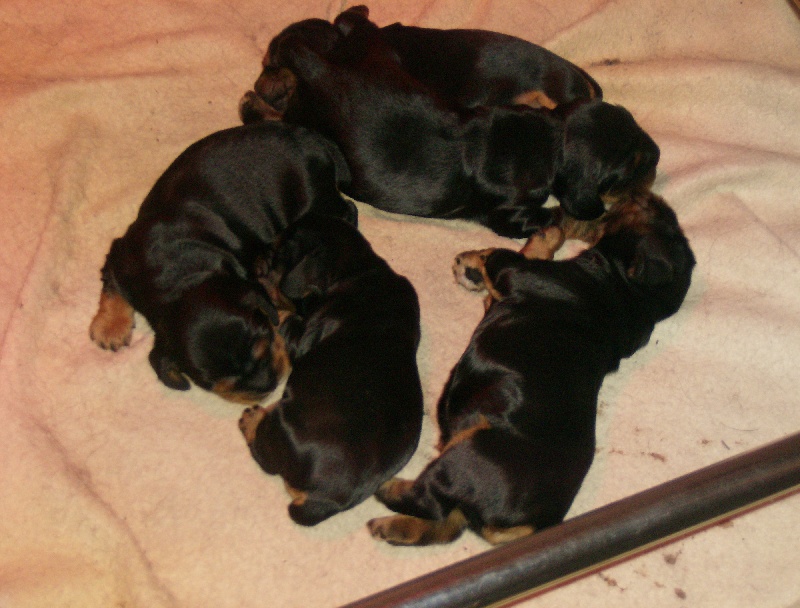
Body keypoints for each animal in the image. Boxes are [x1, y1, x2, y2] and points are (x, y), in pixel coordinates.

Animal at [87, 120, 356, 404]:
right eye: (212, 382)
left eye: (263, 343)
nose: (268, 386)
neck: (178, 280)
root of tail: (312, 138)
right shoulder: (121, 255)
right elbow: (111, 283)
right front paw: (110, 327)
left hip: (313, 199)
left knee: (347, 210)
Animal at [238, 214, 424, 528]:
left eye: (276, 253)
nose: (257, 256)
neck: (357, 270)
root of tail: (323, 500)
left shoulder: (301, 336)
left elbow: (287, 317)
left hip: (280, 420)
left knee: (262, 452)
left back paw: (251, 420)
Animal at [241, 7, 660, 235]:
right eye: (631, 168)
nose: (658, 156)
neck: (549, 137)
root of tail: (319, 69)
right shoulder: (509, 216)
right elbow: (554, 215)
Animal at [368, 192, 692, 544]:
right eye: (666, 216)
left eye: (650, 211)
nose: (644, 194)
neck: (630, 296)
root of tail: (531, 525)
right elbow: (545, 241)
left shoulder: (517, 272)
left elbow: (507, 254)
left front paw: (476, 262)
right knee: (446, 524)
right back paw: (392, 527)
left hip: (469, 451)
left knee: (431, 500)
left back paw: (388, 489)